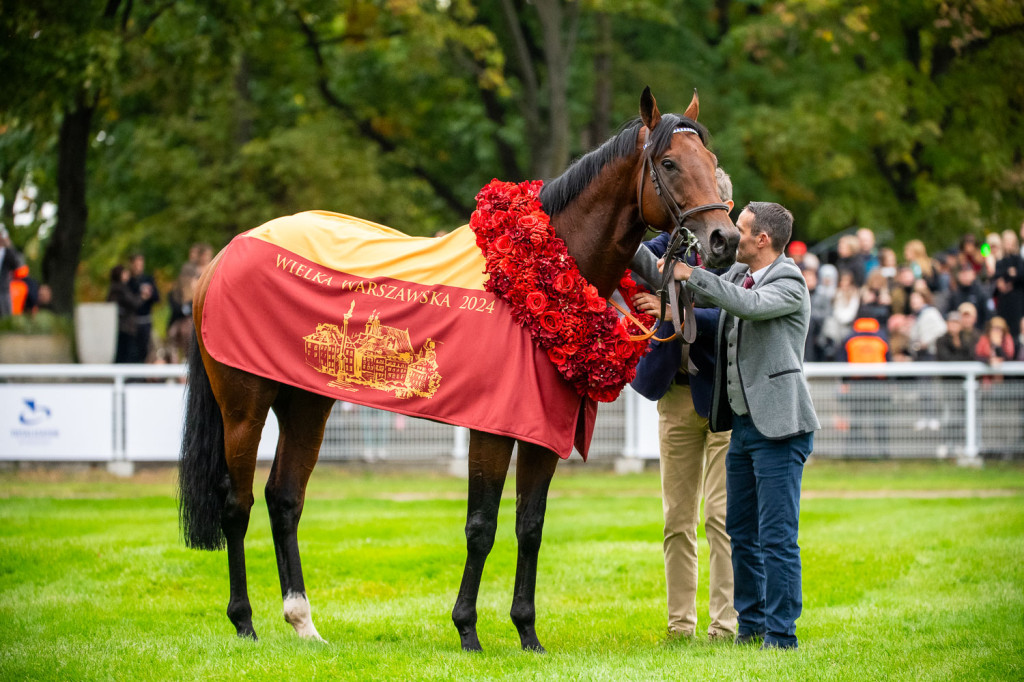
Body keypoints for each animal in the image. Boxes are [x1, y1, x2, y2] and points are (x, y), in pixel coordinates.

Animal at [176, 87, 737, 651]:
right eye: (669, 163)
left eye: (711, 160)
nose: (723, 240)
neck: (538, 274)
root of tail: (228, 253)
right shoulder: (492, 429)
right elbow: (481, 525)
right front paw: (468, 629)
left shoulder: (542, 431)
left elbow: (530, 525)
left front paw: (527, 632)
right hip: (244, 407)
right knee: (237, 503)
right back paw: (244, 620)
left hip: (306, 403)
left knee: (285, 498)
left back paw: (303, 621)